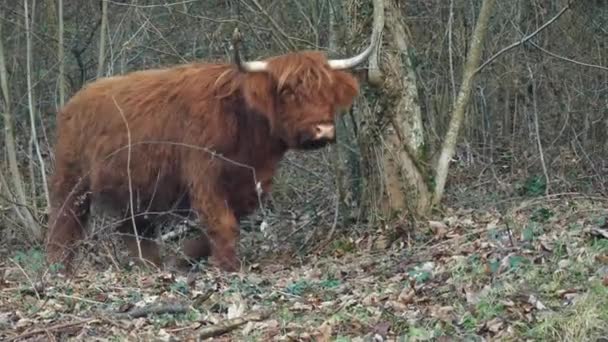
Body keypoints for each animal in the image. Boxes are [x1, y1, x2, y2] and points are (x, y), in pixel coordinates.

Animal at [45, 37, 376, 272]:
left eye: (327, 92)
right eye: (287, 92)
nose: (323, 130)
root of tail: (73, 101)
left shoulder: (250, 182)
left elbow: (231, 220)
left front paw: (185, 259)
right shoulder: (204, 174)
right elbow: (222, 222)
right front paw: (228, 267)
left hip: (137, 189)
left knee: (134, 230)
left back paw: (153, 268)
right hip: (72, 180)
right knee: (64, 224)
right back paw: (58, 270)